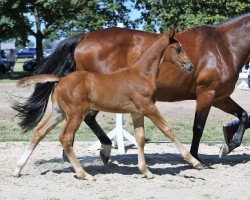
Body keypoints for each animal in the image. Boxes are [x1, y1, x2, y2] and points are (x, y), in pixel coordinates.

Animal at [13, 30, 201, 180]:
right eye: (178, 49)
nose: (190, 66)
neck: (141, 74)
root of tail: (61, 79)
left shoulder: (137, 112)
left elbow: (140, 138)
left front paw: (146, 171)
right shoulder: (148, 107)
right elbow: (168, 129)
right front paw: (194, 162)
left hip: (60, 113)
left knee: (39, 132)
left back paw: (17, 169)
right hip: (76, 114)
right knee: (65, 138)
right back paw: (84, 174)